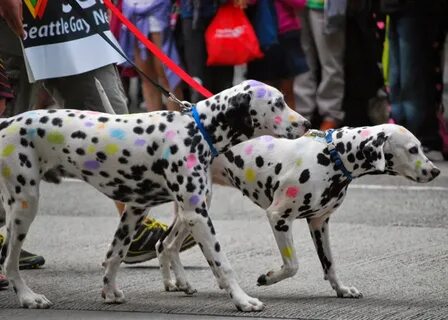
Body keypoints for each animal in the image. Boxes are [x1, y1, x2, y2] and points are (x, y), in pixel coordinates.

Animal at [0, 80, 312, 312]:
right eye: (278, 102)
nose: (307, 123)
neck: (197, 130)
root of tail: (8, 122)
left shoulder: (135, 209)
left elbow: (114, 254)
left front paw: (109, 291)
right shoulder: (197, 215)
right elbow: (223, 265)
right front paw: (243, 300)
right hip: (25, 205)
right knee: (9, 262)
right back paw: (28, 297)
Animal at [158, 123, 440, 300]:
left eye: (421, 146)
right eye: (413, 149)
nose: (436, 171)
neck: (332, 156)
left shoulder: (319, 223)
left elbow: (330, 264)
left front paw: (342, 289)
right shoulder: (279, 218)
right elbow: (292, 265)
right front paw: (269, 277)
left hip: (192, 211)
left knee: (165, 244)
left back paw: (176, 283)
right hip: (197, 208)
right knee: (168, 244)